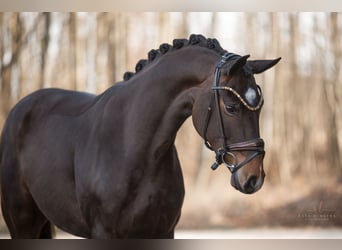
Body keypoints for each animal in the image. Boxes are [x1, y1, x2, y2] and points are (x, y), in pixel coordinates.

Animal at [0, 33, 280, 238]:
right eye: (231, 107)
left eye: (260, 107)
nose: (253, 178)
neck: (133, 149)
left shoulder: (163, 231)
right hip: (22, 223)